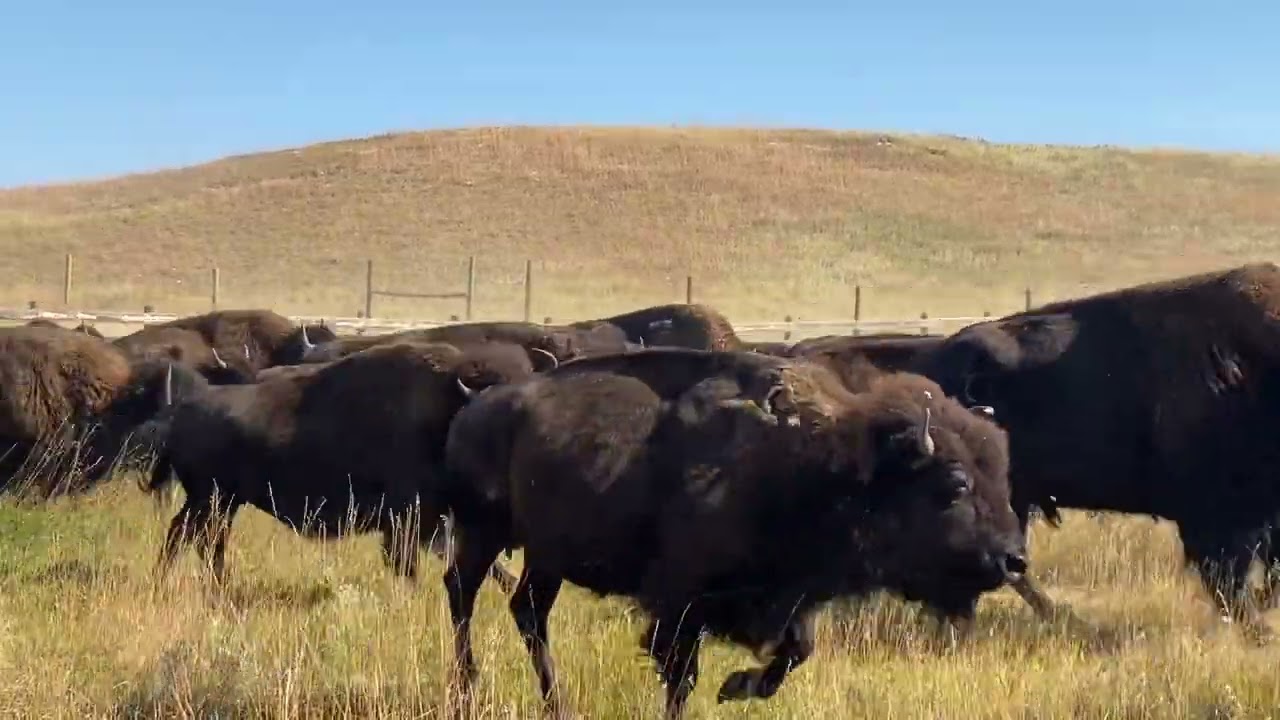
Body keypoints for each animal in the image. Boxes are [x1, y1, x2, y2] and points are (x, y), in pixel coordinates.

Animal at [441, 348, 1027, 718]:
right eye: (954, 484)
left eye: (1003, 471)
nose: (1013, 560)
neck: (823, 463)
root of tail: (474, 407)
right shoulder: (679, 606)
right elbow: (680, 676)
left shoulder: (789, 600)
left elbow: (794, 653)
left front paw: (735, 687)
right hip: (484, 530)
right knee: (462, 591)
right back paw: (467, 690)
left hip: (546, 555)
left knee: (528, 611)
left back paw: (555, 704)